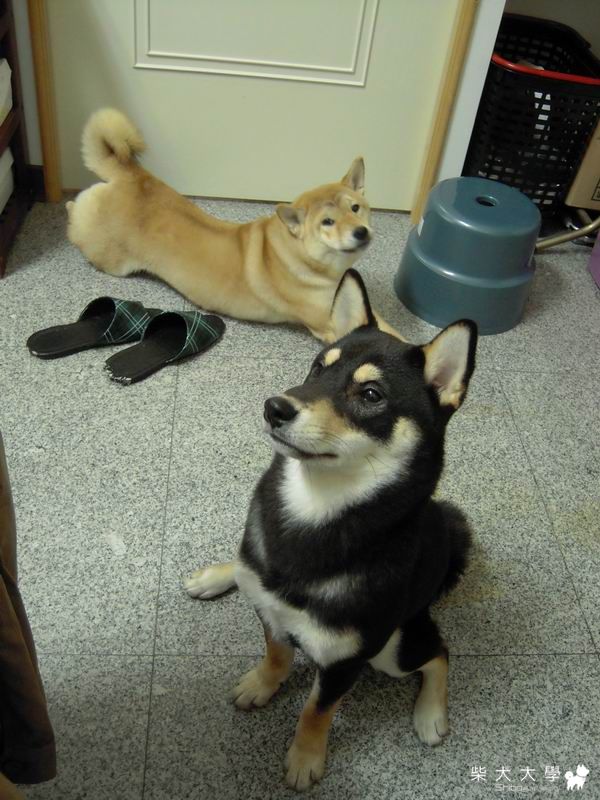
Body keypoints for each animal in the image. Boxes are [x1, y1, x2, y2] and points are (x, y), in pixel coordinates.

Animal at [67, 109, 398, 342]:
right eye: (327, 222)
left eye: (355, 208)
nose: (360, 231)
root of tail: (135, 175)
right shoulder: (328, 323)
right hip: (108, 256)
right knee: (75, 219)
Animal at [184, 269, 477, 790]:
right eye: (318, 368)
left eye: (371, 395)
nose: (274, 407)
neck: (314, 509)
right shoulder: (270, 610)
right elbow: (277, 655)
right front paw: (262, 684)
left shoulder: (345, 661)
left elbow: (316, 711)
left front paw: (305, 758)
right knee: (243, 564)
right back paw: (217, 574)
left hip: (393, 650)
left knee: (440, 651)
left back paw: (430, 714)